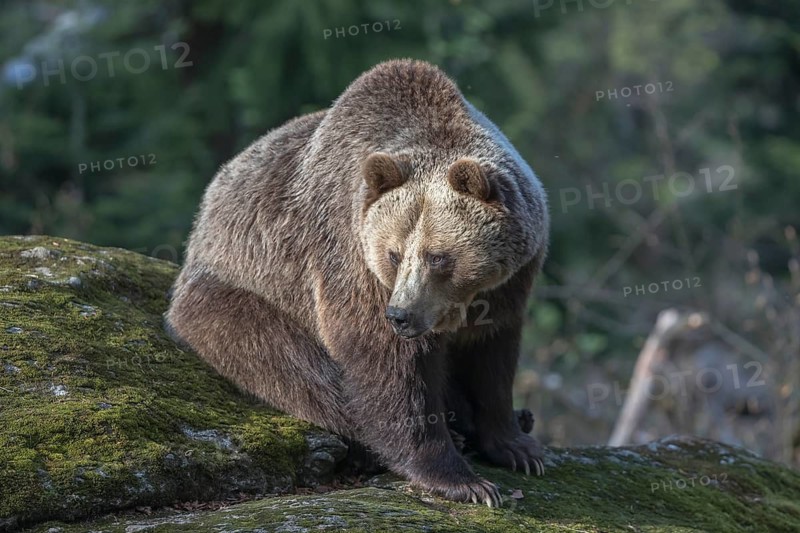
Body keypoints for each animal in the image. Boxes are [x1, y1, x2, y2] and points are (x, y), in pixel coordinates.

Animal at [166, 59, 549, 507]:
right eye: (394, 253)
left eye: (438, 256)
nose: (400, 315)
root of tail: (203, 216)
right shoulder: (350, 254)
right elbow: (383, 361)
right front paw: (464, 480)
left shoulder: (510, 281)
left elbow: (492, 353)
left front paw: (517, 446)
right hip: (235, 295)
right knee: (295, 367)